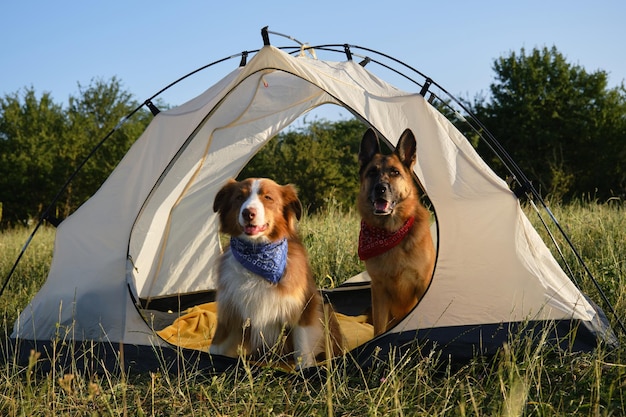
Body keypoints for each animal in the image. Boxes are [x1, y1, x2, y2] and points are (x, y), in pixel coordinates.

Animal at [208, 177, 342, 366]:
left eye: (268, 198)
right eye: (239, 197)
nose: (248, 213)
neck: (257, 251)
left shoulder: (304, 308)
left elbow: (302, 347)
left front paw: (305, 368)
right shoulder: (230, 312)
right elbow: (216, 348)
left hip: (326, 309)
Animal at [356, 127, 434, 334]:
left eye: (395, 172)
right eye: (372, 172)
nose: (380, 189)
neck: (390, 233)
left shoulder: (422, 285)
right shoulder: (379, 290)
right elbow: (378, 329)